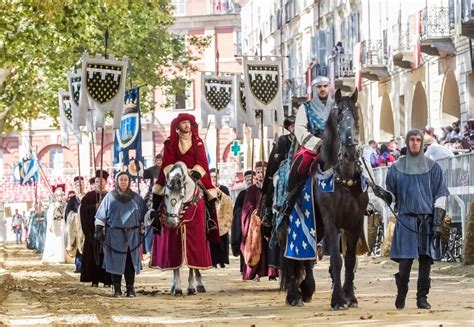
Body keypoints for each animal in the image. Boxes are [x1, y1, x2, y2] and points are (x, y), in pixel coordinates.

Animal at [280, 88, 368, 308]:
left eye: (356, 116)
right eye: (339, 117)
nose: (351, 152)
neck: (343, 178)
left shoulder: (354, 223)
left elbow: (350, 260)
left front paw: (350, 297)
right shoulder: (331, 221)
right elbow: (336, 259)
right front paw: (338, 299)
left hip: (316, 226)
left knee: (307, 259)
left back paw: (306, 289)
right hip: (291, 225)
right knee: (289, 257)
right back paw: (294, 295)